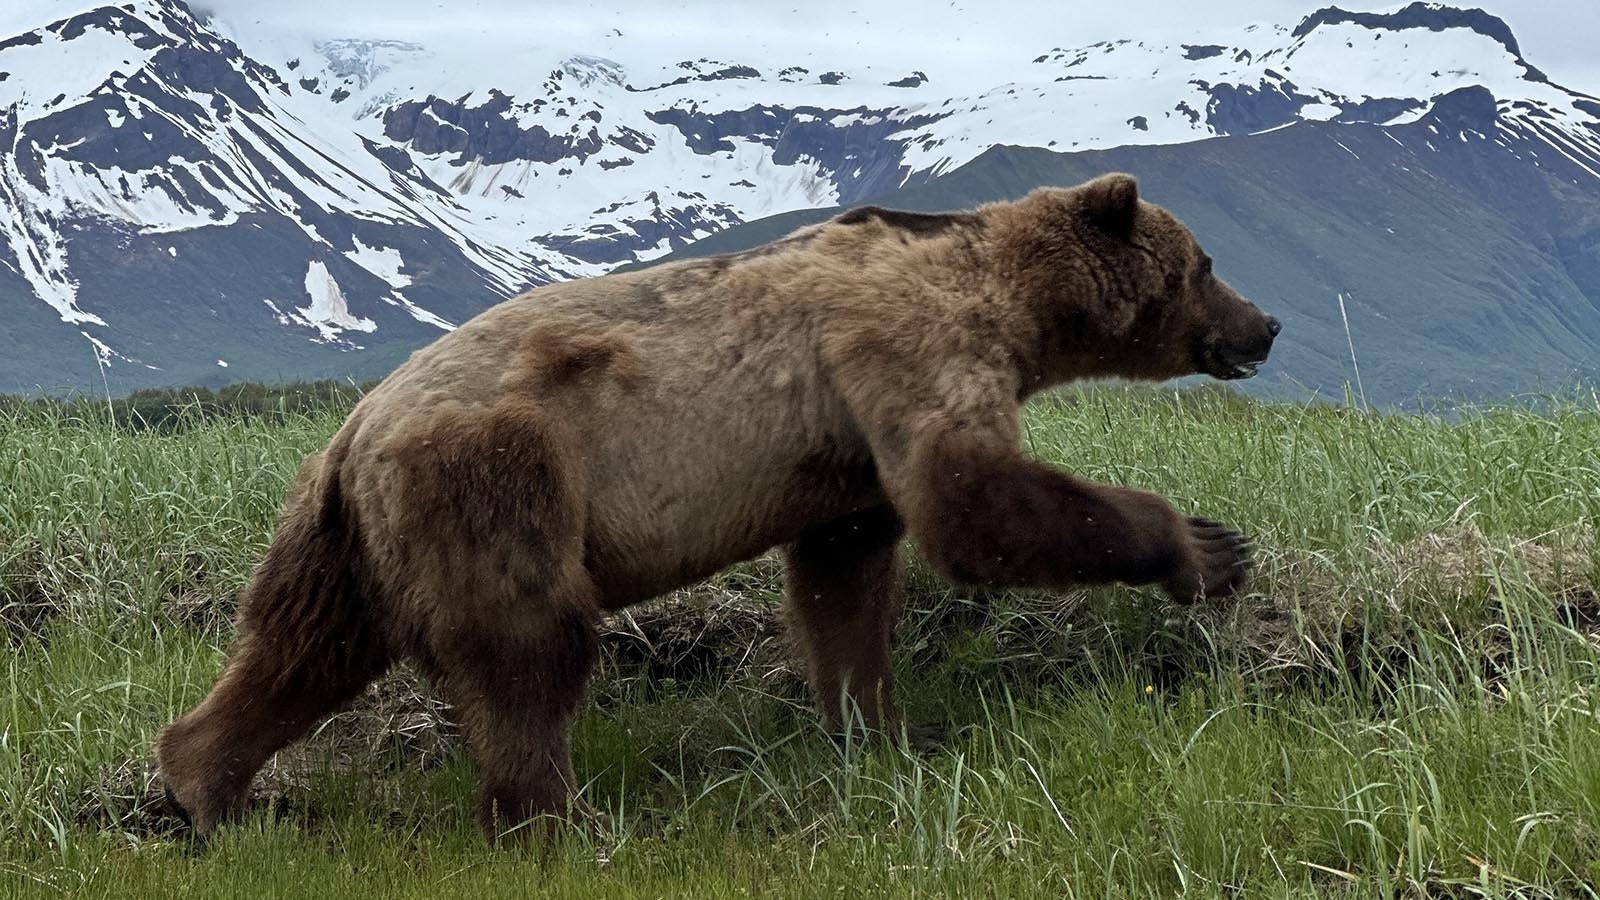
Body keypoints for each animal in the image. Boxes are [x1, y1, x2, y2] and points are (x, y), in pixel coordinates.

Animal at [159, 171, 1286, 839]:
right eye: (1207, 263)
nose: (1266, 323)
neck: (1010, 305)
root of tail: (353, 430)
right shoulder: (906, 343)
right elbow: (969, 501)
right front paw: (1204, 547)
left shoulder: (845, 449)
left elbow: (843, 580)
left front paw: (879, 726)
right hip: (496, 477)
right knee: (529, 646)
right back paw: (553, 820)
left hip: (342, 536)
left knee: (301, 649)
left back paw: (202, 783)